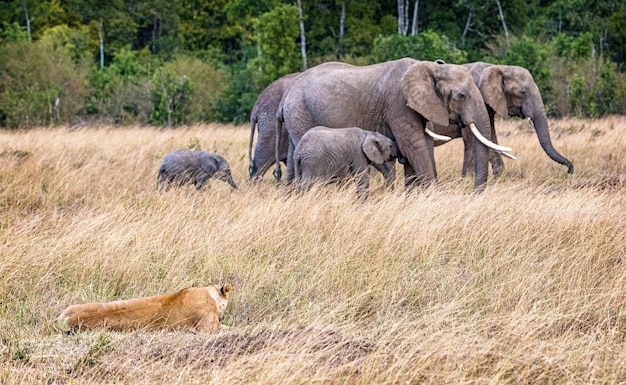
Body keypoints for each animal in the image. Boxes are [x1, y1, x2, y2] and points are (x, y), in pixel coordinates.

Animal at [272, 58, 508, 192]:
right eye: (461, 95)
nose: (474, 192)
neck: (429, 68)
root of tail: (284, 100)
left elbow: (422, 145)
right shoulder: (398, 104)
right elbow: (415, 146)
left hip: (297, 117)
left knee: (293, 160)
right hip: (301, 113)